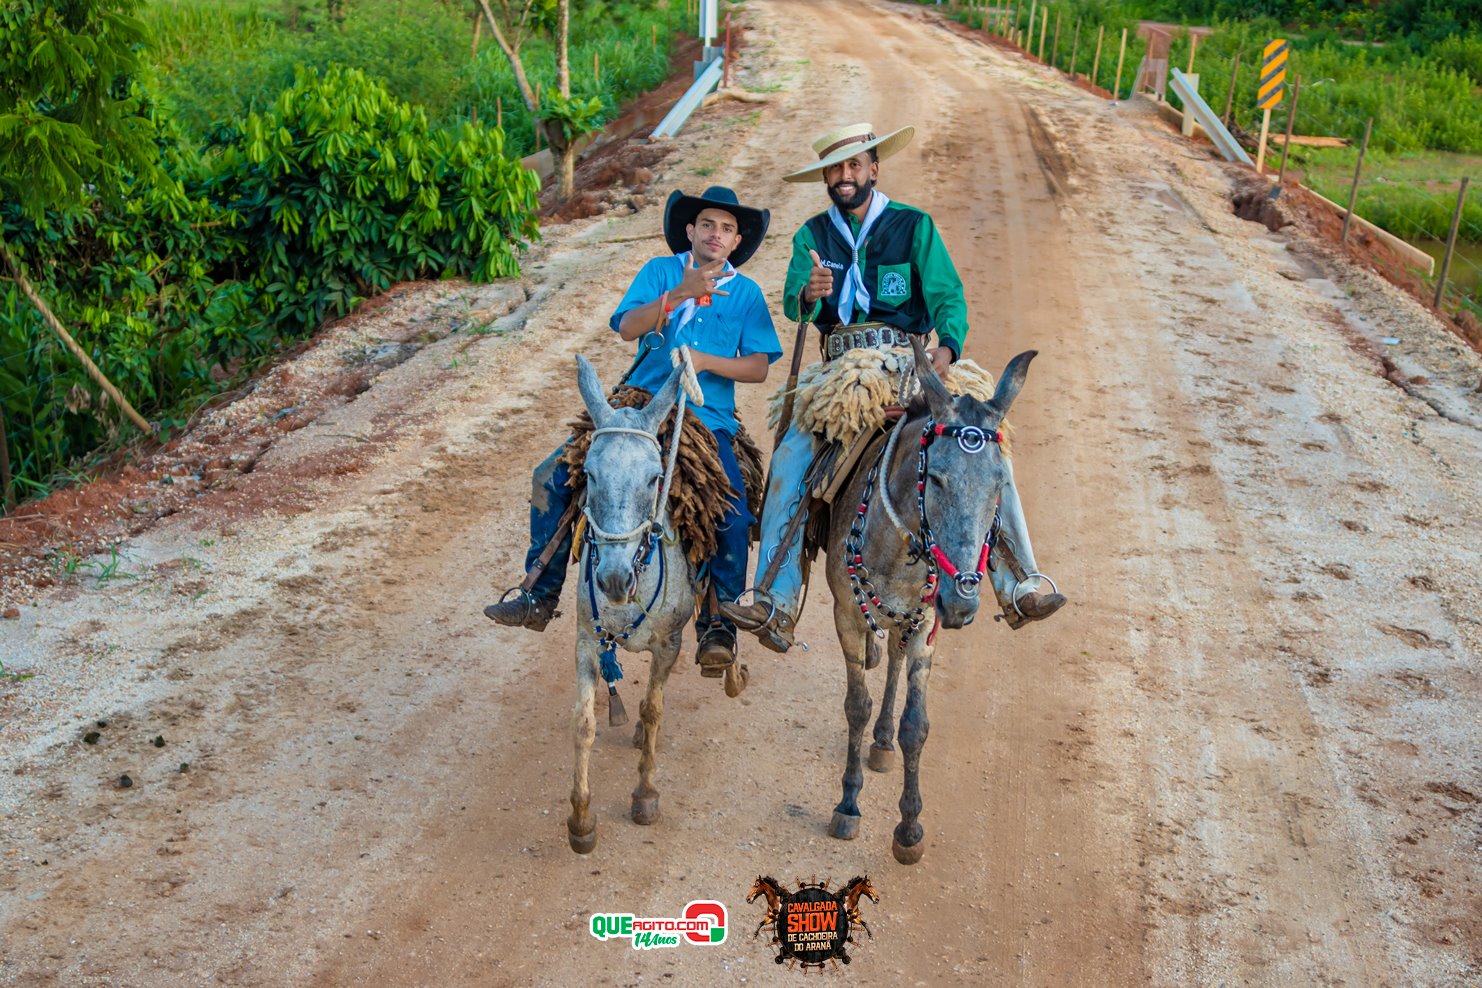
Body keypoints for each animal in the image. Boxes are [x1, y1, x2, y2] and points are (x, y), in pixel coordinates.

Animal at [567, 356, 700, 854]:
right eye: (588, 474)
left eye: (655, 477)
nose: (612, 579)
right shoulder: (586, 641)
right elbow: (584, 723)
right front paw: (581, 819)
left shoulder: (669, 644)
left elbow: (653, 709)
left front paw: (644, 796)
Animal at [823, 337, 1037, 864]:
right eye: (935, 478)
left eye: (1001, 483)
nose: (961, 604)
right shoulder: (845, 615)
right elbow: (855, 704)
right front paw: (848, 804)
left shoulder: (925, 625)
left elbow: (916, 725)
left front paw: (909, 827)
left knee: (895, 662)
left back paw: (882, 742)